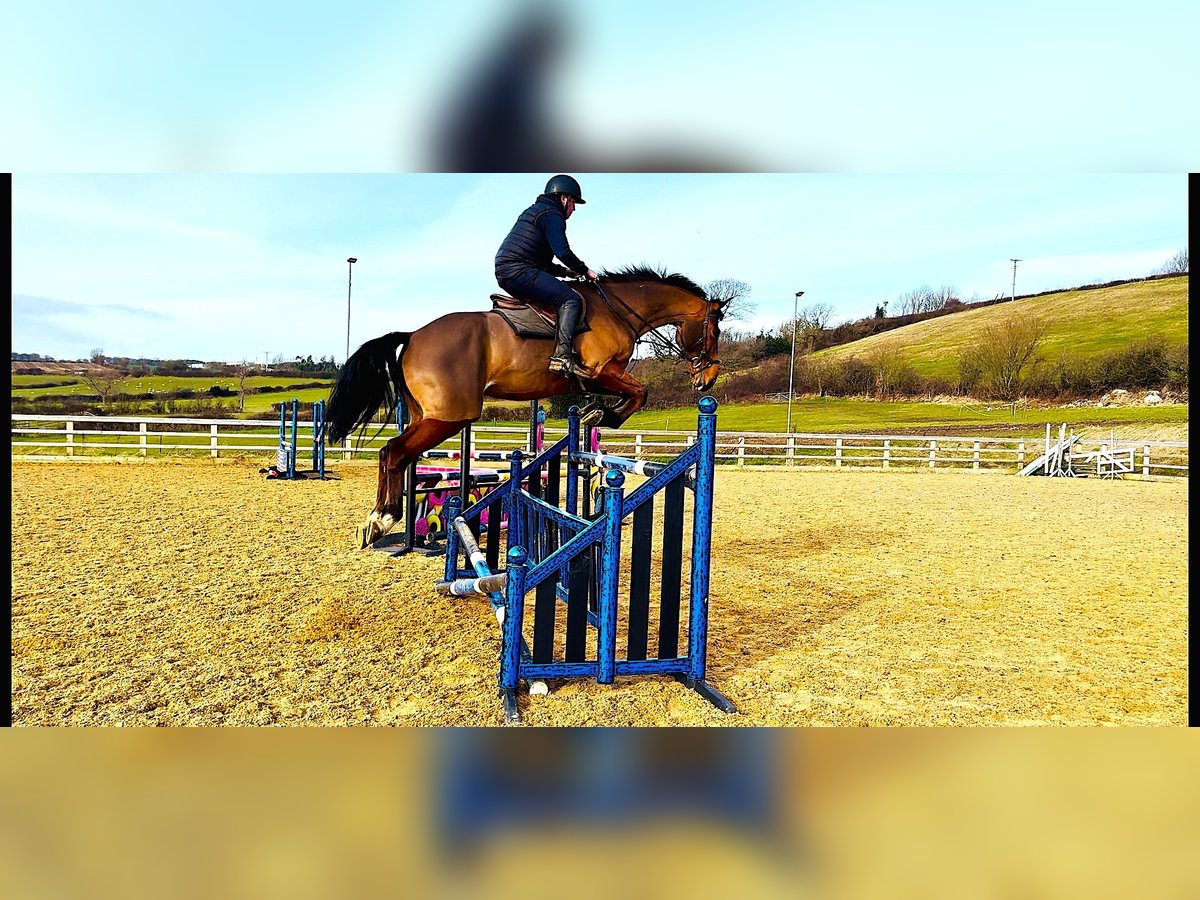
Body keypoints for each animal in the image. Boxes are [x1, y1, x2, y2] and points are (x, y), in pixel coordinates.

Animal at [324, 264, 724, 549]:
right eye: (715, 331)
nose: (708, 380)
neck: (618, 310)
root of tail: (411, 336)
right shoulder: (601, 371)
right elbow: (640, 393)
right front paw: (604, 413)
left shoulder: (599, 377)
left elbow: (629, 394)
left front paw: (596, 411)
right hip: (450, 417)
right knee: (394, 452)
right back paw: (382, 519)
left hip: (428, 415)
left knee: (393, 454)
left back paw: (374, 522)